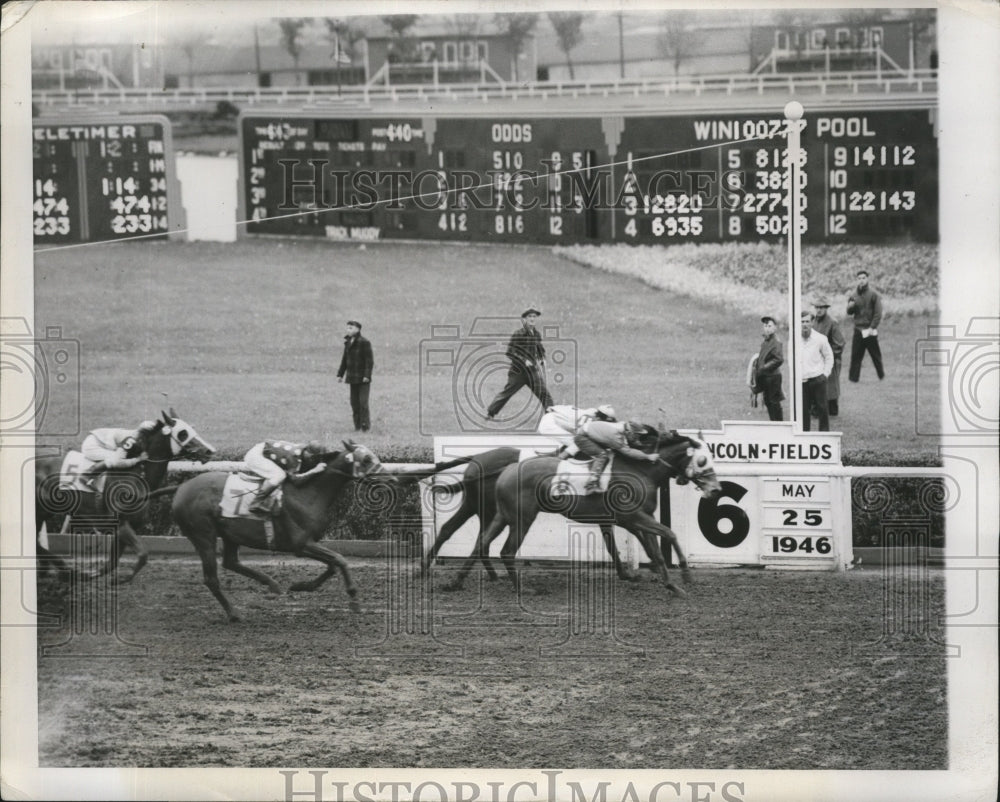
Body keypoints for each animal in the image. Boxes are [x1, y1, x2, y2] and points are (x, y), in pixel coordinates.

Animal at [35, 410, 215, 580]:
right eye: (183, 433)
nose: (209, 451)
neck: (136, 475)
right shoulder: (119, 523)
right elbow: (142, 555)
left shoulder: (128, 526)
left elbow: (112, 563)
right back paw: (63, 569)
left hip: (45, 511)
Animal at [167, 440, 394, 620]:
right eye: (366, 459)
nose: (392, 479)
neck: (308, 494)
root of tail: (181, 488)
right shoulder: (301, 544)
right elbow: (340, 559)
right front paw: (354, 599)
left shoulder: (310, 543)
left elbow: (332, 565)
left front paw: (301, 585)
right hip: (203, 535)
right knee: (211, 578)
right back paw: (234, 613)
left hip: (230, 533)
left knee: (230, 562)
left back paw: (271, 584)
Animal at [444, 432, 720, 592]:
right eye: (703, 460)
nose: (716, 489)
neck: (640, 470)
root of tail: (507, 469)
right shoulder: (634, 517)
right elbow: (669, 534)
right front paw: (685, 575)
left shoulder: (641, 517)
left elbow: (655, 550)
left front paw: (671, 584)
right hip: (522, 518)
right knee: (506, 551)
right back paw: (521, 588)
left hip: (502, 515)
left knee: (481, 543)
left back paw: (455, 582)